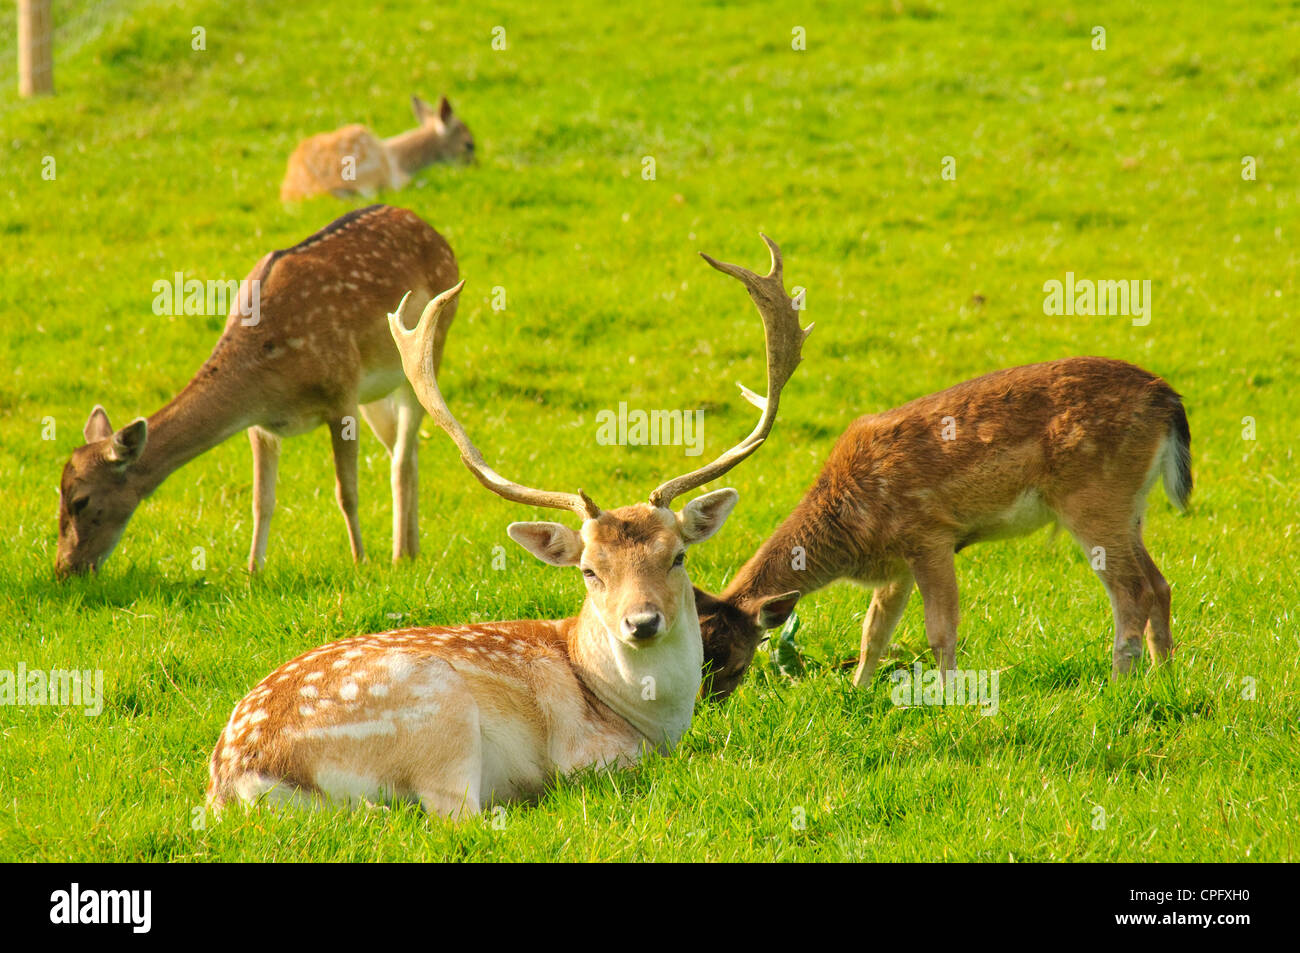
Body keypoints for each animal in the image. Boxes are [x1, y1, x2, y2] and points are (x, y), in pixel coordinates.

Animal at [57, 204, 462, 577]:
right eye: (57, 493)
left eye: (80, 500)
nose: (65, 569)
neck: (266, 374)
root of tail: (430, 228)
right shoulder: (261, 425)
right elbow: (261, 500)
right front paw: (254, 570)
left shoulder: (342, 393)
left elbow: (346, 492)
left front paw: (359, 561)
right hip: (377, 392)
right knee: (405, 450)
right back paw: (411, 550)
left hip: (430, 347)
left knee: (402, 456)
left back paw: (398, 554)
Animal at [204, 234, 811, 816]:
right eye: (590, 571)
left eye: (678, 556)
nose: (642, 622)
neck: (650, 721)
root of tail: (240, 778)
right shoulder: (592, 755)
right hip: (440, 719)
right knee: (454, 814)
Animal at [696, 353, 1190, 696]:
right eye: (699, 650)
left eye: (734, 661)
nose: (707, 704)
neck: (853, 525)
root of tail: (1168, 399)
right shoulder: (895, 563)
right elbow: (874, 630)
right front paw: (857, 691)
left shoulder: (929, 535)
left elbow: (940, 629)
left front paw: (950, 700)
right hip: (1131, 507)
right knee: (1160, 583)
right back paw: (1164, 677)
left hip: (1094, 497)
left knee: (1133, 590)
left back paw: (1118, 686)